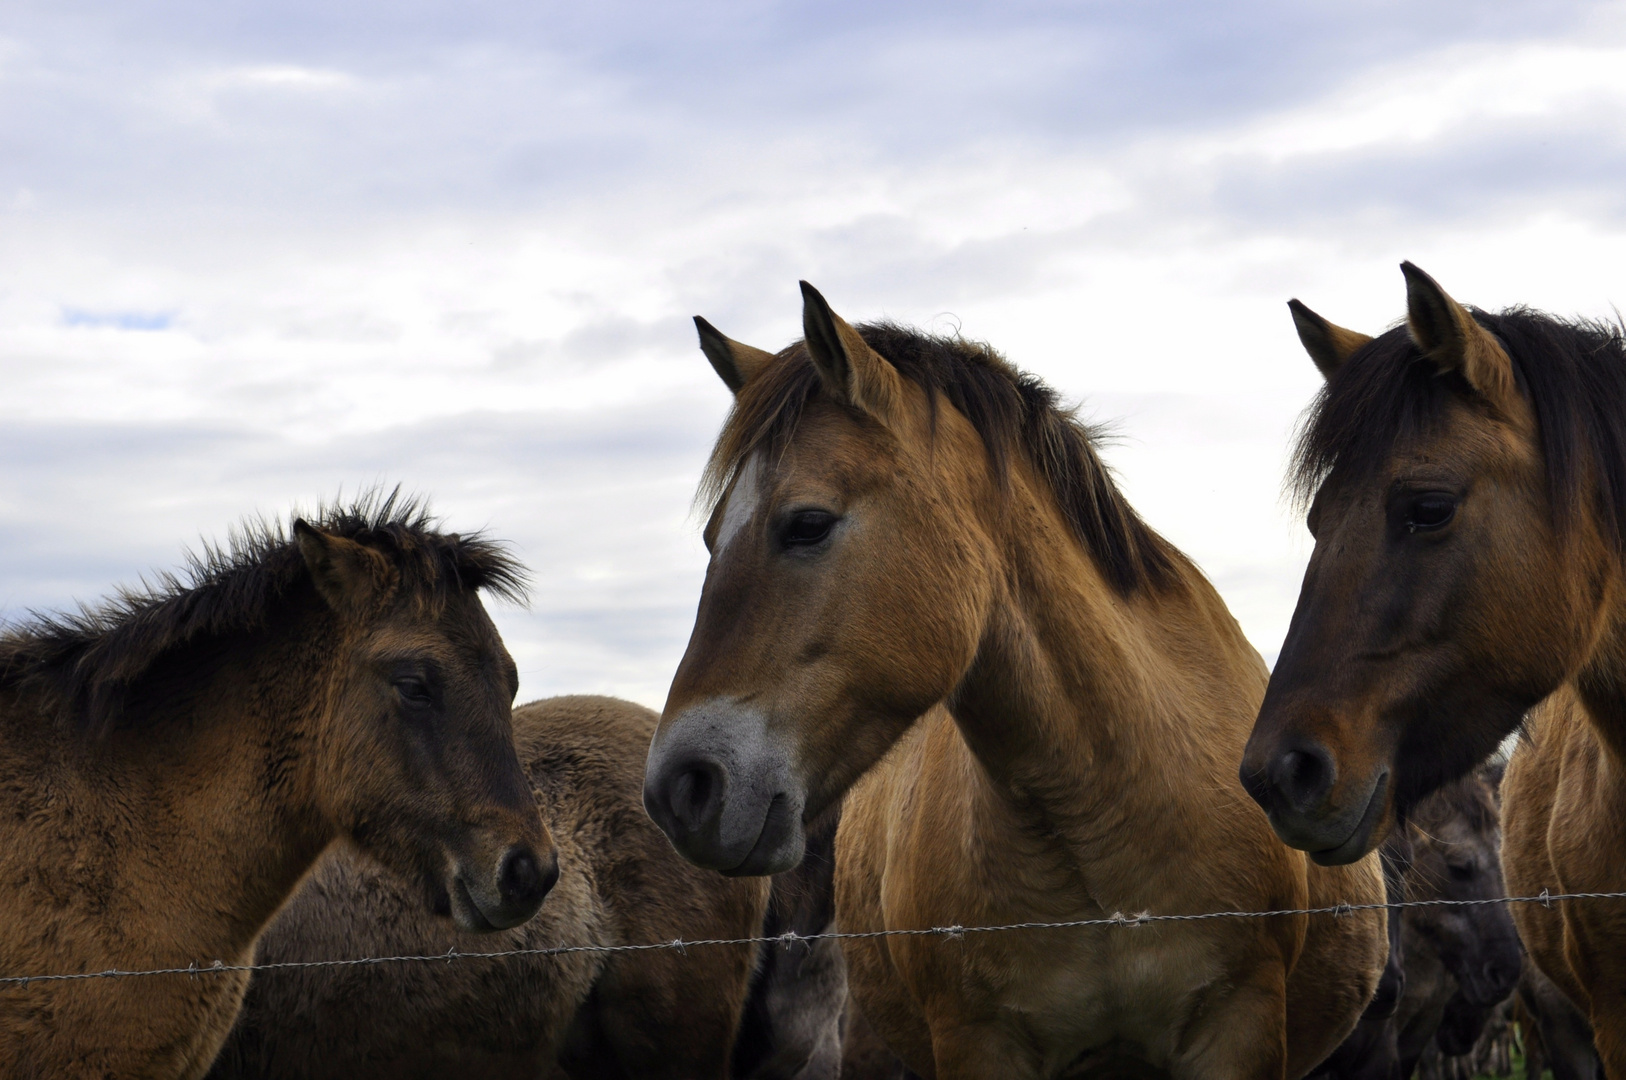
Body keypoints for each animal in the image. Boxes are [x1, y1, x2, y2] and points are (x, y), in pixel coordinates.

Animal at [643, 284, 1385, 1080]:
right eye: (712, 538)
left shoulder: (1238, 1027)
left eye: (808, 523)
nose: (680, 788)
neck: (1099, 814)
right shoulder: (977, 1041)